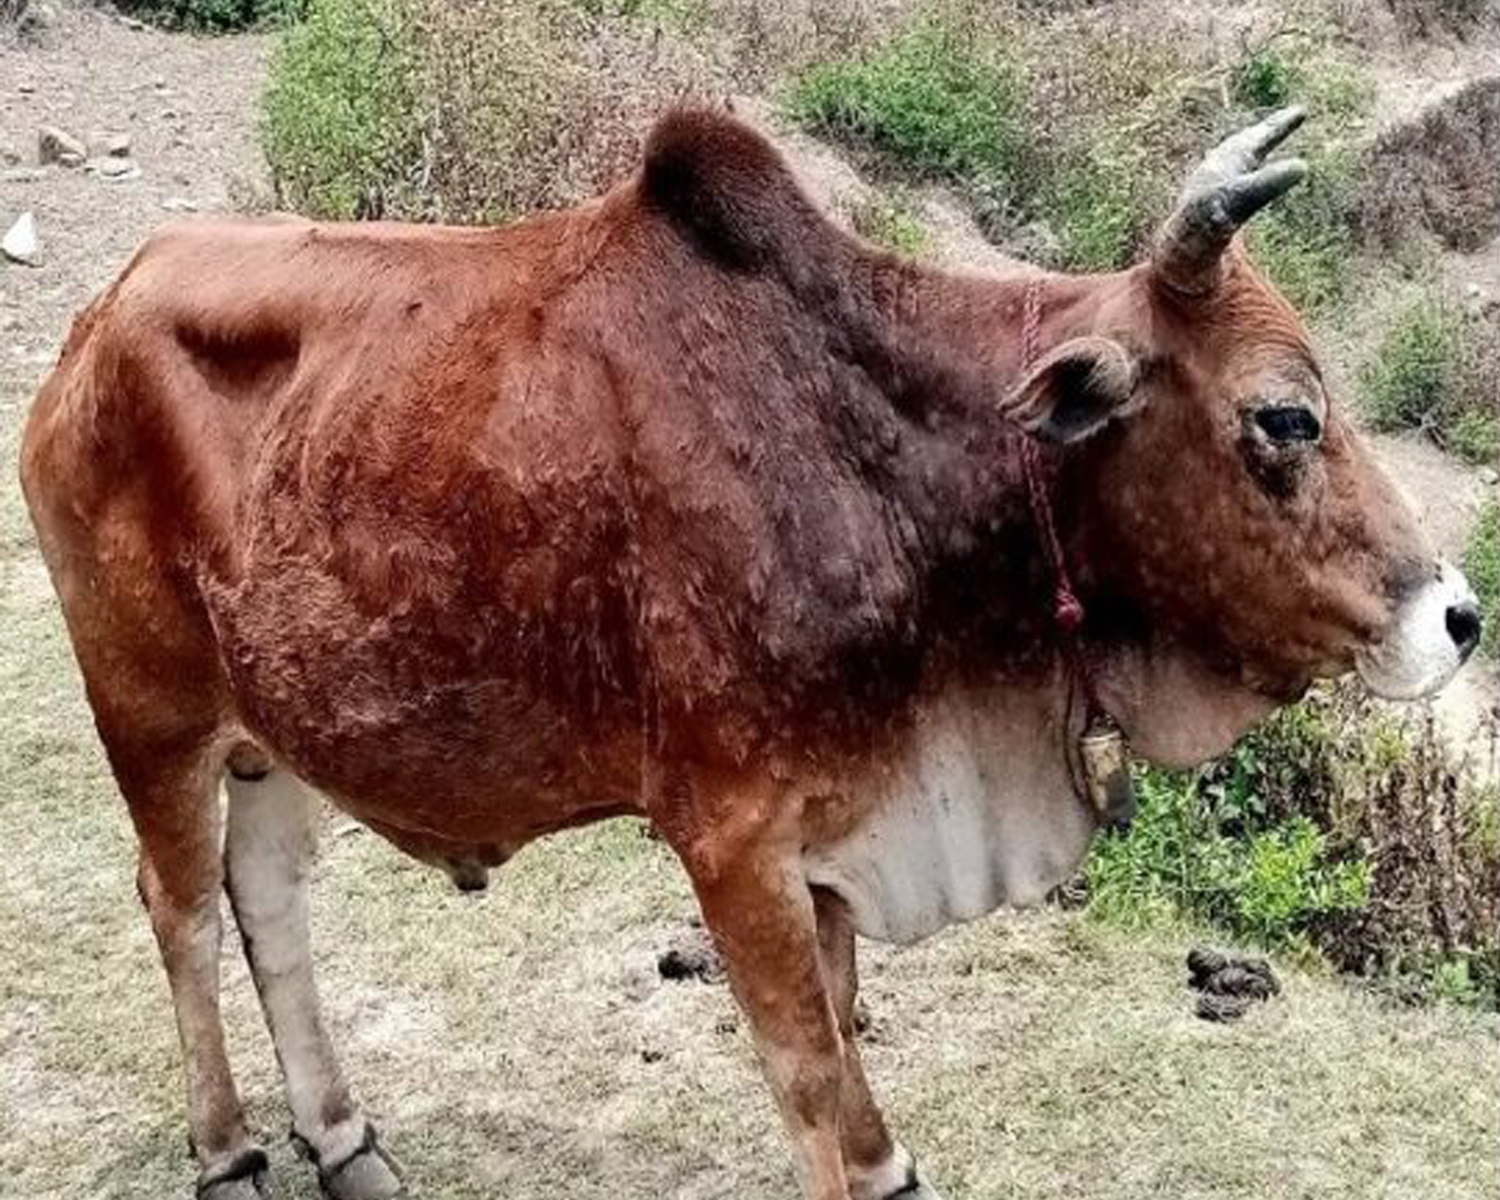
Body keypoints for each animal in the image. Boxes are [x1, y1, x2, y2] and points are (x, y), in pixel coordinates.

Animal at [17, 110, 1482, 1200]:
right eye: (1284, 417)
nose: (1458, 615)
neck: (876, 455)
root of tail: (101, 313)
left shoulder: (834, 834)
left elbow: (842, 1060)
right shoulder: (732, 845)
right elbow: (826, 1100)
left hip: (275, 735)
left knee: (267, 901)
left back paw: (345, 1139)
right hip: (148, 710)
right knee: (180, 907)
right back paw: (229, 1152)